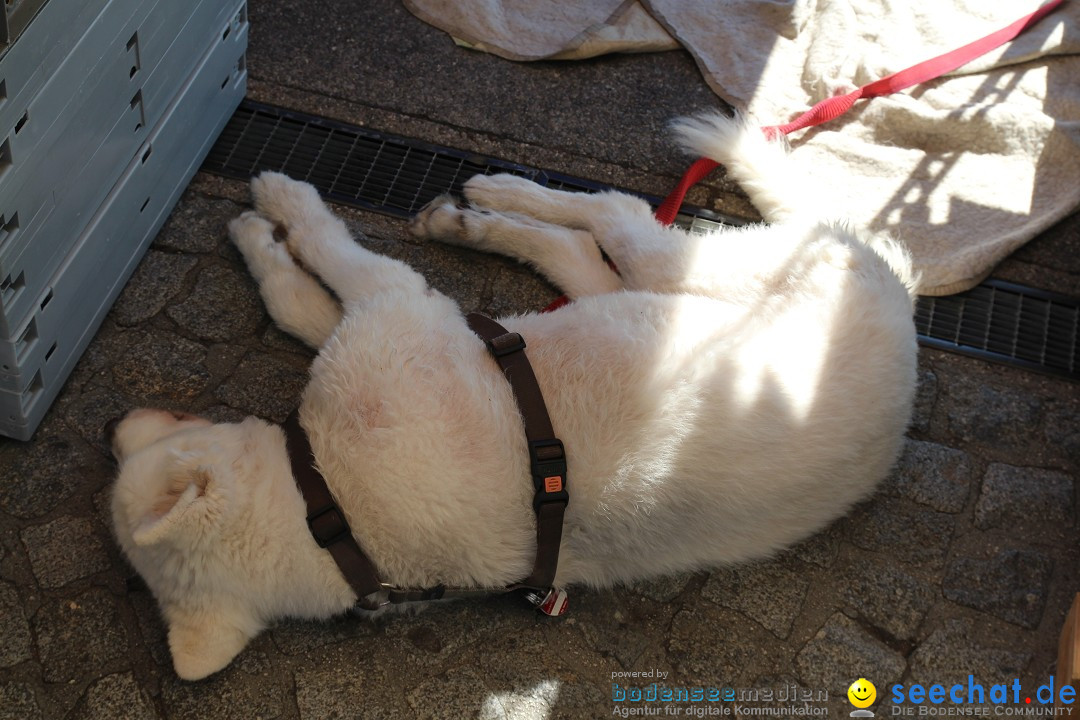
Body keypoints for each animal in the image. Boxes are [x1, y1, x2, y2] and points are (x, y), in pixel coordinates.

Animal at [109, 113, 920, 682]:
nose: (116, 425)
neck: (332, 508)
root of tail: (902, 301)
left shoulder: (394, 301)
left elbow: (319, 255)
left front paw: (275, 206)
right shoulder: (401, 320)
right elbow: (305, 305)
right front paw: (266, 240)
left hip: (701, 269)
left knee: (616, 213)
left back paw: (497, 195)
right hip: (650, 300)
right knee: (589, 256)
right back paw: (476, 218)